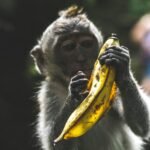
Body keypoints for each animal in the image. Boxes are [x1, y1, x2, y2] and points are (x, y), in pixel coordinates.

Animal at [30, 5, 150, 150]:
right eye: (69, 47)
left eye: (86, 44)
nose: (81, 58)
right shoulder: (49, 92)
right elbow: (54, 143)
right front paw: (74, 94)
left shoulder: (112, 87)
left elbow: (141, 125)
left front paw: (122, 67)